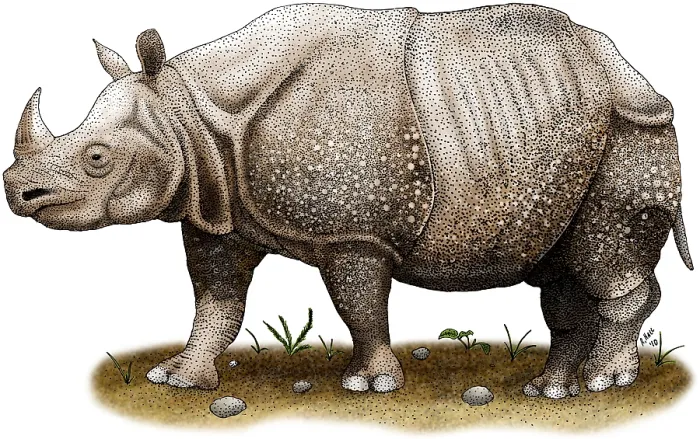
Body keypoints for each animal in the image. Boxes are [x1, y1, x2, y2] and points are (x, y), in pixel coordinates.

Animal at [3, 3, 693, 398]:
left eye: (97, 158)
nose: (18, 191)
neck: (195, 116)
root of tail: (635, 72)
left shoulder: (355, 232)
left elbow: (358, 305)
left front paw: (370, 383)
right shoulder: (216, 209)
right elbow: (215, 302)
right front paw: (177, 379)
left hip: (635, 133)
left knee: (601, 254)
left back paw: (602, 384)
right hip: (569, 130)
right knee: (562, 271)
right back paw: (548, 391)